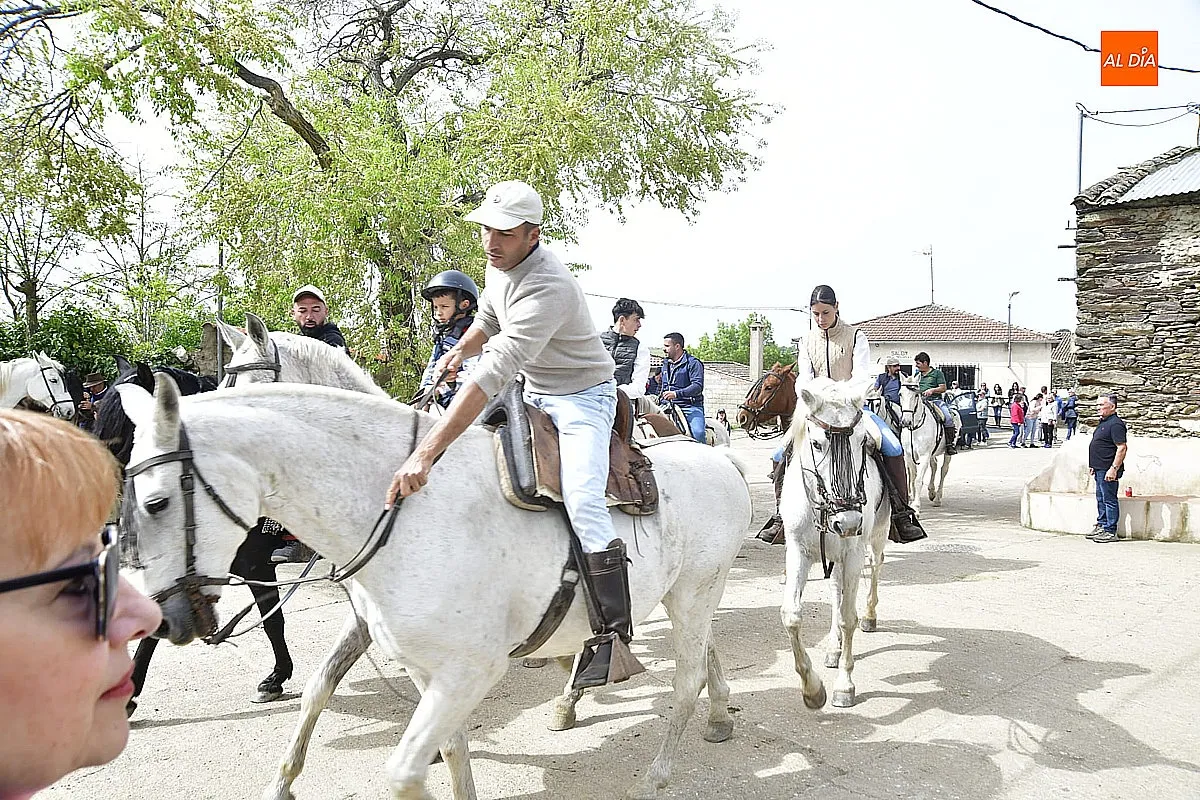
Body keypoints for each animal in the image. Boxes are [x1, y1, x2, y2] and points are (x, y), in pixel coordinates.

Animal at [118, 376, 752, 800]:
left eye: (157, 502)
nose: (166, 619)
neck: (405, 511)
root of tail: (718, 459)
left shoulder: (469, 671)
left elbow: (404, 773)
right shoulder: (428, 671)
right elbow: (447, 748)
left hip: (695, 592)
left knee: (686, 679)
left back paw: (657, 774)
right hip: (684, 596)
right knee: (705, 655)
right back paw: (717, 716)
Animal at [778, 377, 889, 709]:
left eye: (862, 442)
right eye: (816, 443)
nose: (848, 523)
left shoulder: (852, 552)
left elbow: (848, 619)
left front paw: (844, 685)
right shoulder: (797, 551)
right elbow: (792, 616)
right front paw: (812, 689)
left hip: (876, 538)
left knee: (875, 567)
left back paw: (870, 616)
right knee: (837, 591)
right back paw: (832, 649)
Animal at [897, 376, 953, 515]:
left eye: (916, 395)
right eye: (900, 394)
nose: (906, 421)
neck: (915, 428)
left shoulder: (924, 456)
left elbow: (918, 480)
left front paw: (916, 506)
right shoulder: (909, 455)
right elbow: (911, 478)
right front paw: (911, 502)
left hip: (947, 452)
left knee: (943, 470)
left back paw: (937, 498)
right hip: (932, 454)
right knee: (934, 466)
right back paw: (932, 492)